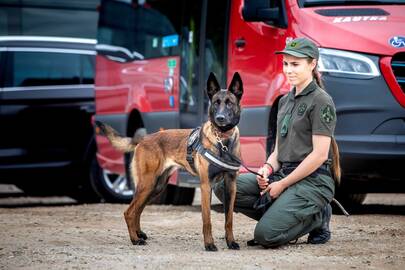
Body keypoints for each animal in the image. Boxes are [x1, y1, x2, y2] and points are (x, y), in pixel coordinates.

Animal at [95, 71, 243, 251]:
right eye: (216, 103)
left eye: (229, 103)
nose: (220, 118)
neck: (223, 140)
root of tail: (142, 139)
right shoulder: (206, 186)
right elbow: (207, 220)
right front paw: (209, 244)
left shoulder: (231, 186)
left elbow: (229, 220)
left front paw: (231, 242)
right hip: (148, 184)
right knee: (129, 212)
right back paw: (135, 239)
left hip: (156, 187)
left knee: (137, 210)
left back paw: (139, 234)